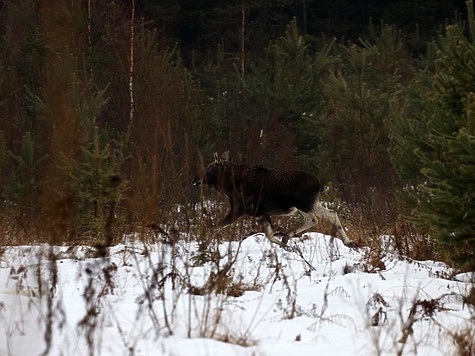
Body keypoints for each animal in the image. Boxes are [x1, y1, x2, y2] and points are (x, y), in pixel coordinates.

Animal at [192, 152, 354, 249]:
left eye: (209, 167)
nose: (195, 180)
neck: (228, 185)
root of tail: (320, 185)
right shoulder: (261, 213)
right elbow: (269, 235)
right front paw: (286, 247)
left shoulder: (238, 209)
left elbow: (215, 227)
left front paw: (204, 246)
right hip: (304, 205)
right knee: (316, 218)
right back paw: (287, 236)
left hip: (305, 204)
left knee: (328, 215)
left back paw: (348, 242)